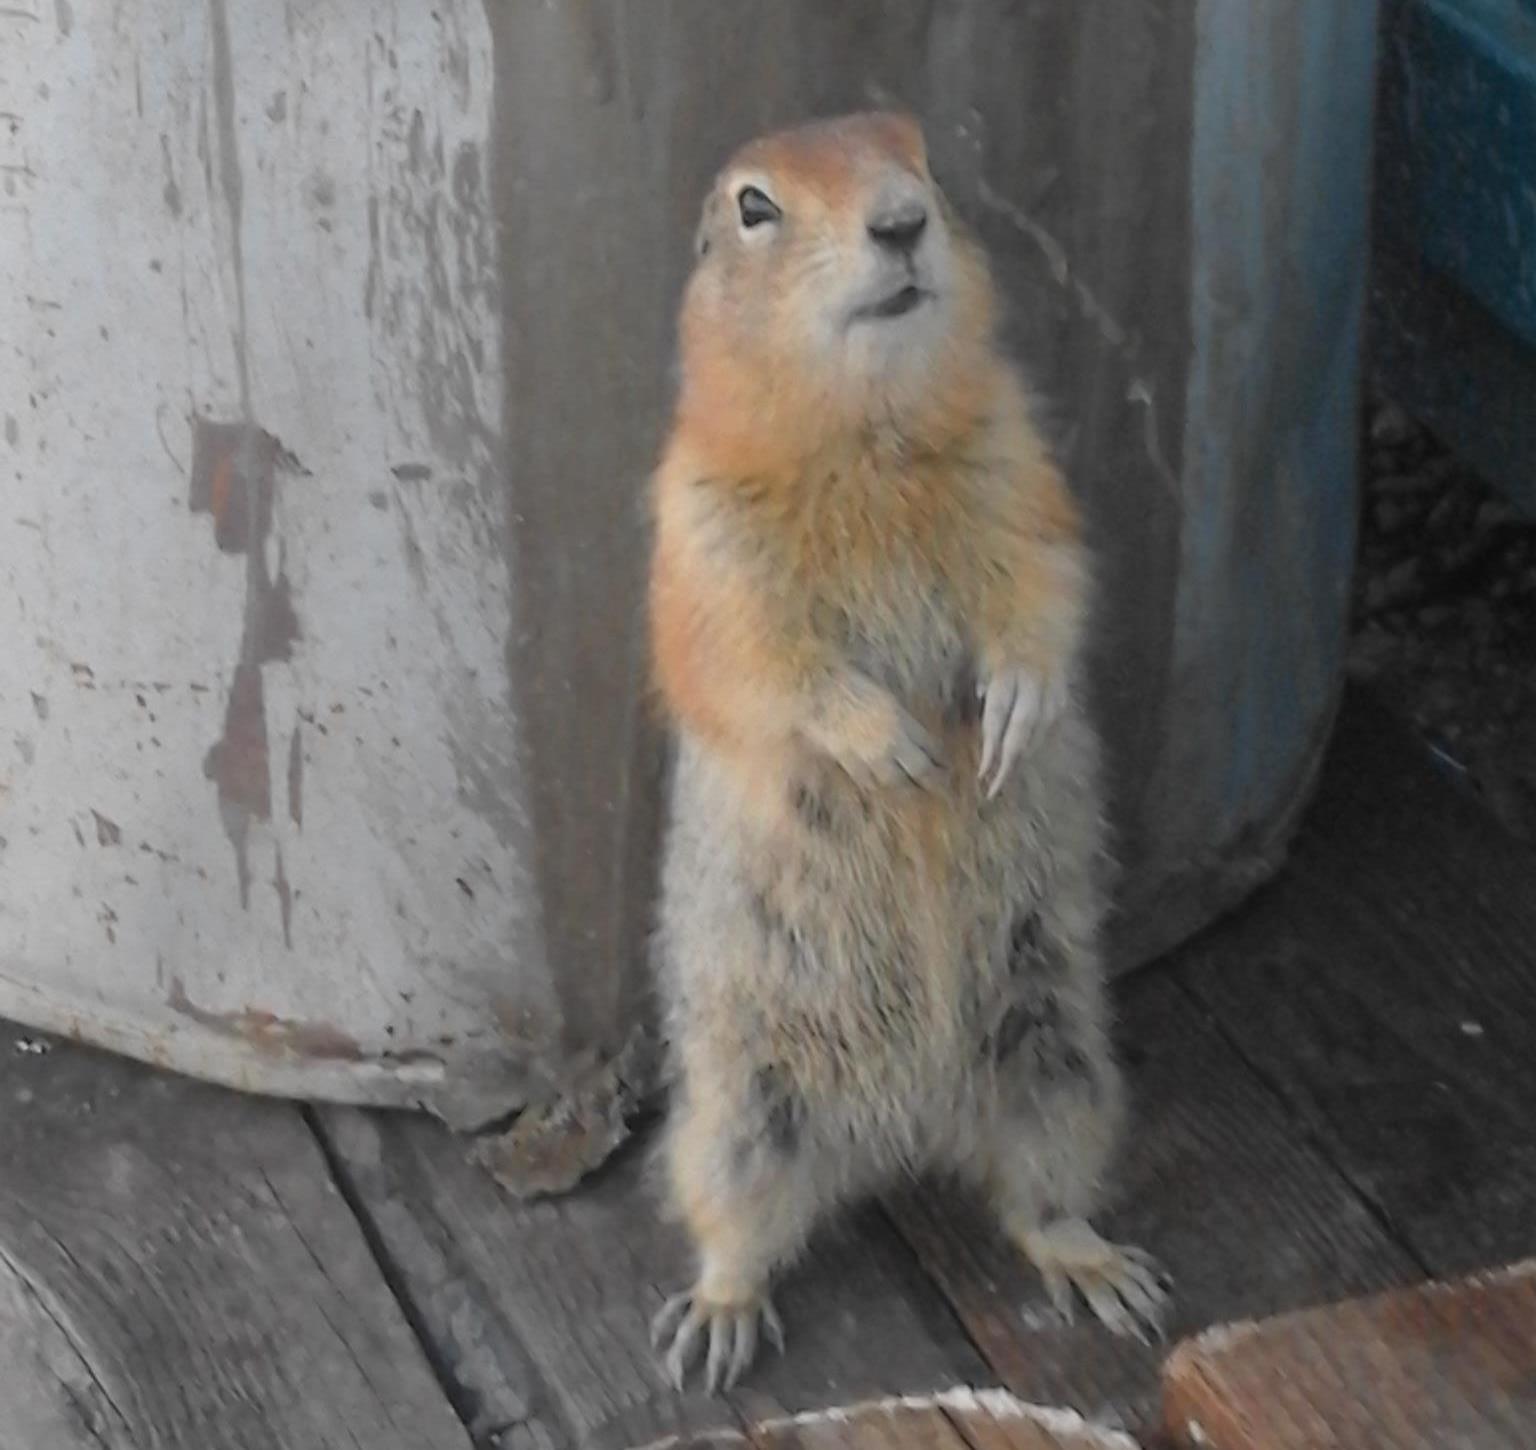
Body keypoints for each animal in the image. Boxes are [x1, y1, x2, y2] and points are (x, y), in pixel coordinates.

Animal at [645, 110, 1161, 1394]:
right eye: (755, 207)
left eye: (922, 157)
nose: (901, 220)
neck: (864, 438)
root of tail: (907, 1125)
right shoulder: (699, 533)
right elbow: (754, 662)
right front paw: (893, 749)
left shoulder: (1023, 474)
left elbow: (1046, 589)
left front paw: (1013, 710)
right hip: (738, 1110)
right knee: (740, 1221)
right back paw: (715, 1316)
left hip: (1057, 1060)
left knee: (1036, 1195)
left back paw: (1096, 1265)